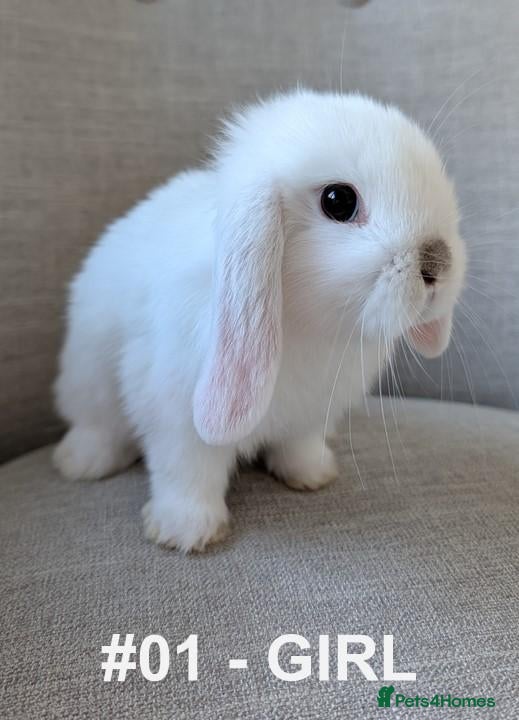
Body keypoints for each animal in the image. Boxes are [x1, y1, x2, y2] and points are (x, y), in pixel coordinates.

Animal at [54, 90, 466, 552]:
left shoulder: (308, 413)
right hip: (88, 379)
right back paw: (81, 463)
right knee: (95, 424)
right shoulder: (175, 415)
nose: (438, 264)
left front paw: (313, 475)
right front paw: (187, 531)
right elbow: (187, 471)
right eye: (339, 201)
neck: (308, 325)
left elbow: (298, 445)